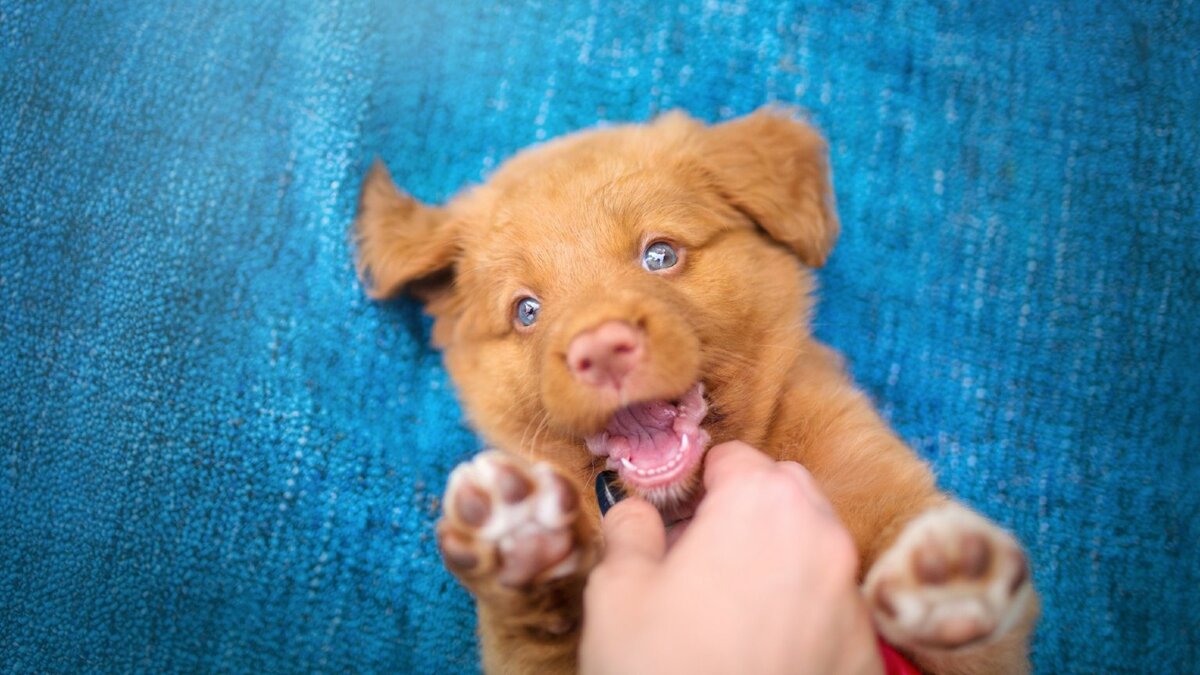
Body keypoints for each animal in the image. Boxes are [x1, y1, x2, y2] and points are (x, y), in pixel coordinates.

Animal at [350, 107, 1036, 667]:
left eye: (660, 255)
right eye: (526, 311)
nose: (601, 350)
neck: (682, 503)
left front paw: (948, 579)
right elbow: (536, 635)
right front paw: (518, 545)